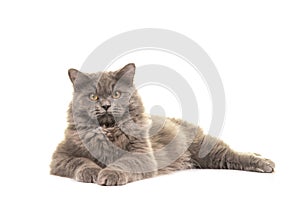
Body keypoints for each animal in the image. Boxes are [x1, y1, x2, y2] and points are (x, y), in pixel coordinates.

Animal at [50, 63, 276, 185]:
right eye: (94, 97)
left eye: (116, 94)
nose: (106, 105)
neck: (109, 130)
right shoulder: (61, 157)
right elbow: (81, 162)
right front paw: (92, 173)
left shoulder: (141, 155)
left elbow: (122, 163)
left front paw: (108, 174)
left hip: (208, 150)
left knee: (233, 154)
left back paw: (265, 162)